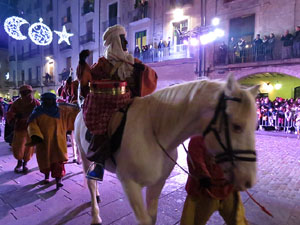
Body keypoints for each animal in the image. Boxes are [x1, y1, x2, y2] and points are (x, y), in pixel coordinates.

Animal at [74, 74, 260, 224]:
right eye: (237, 126)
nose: (249, 180)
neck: (153, 132)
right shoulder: (129, 184)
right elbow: (144, 220)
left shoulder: (157, 183)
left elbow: (152, 217)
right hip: (84, 156)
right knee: (90, 183)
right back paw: (95, 216)